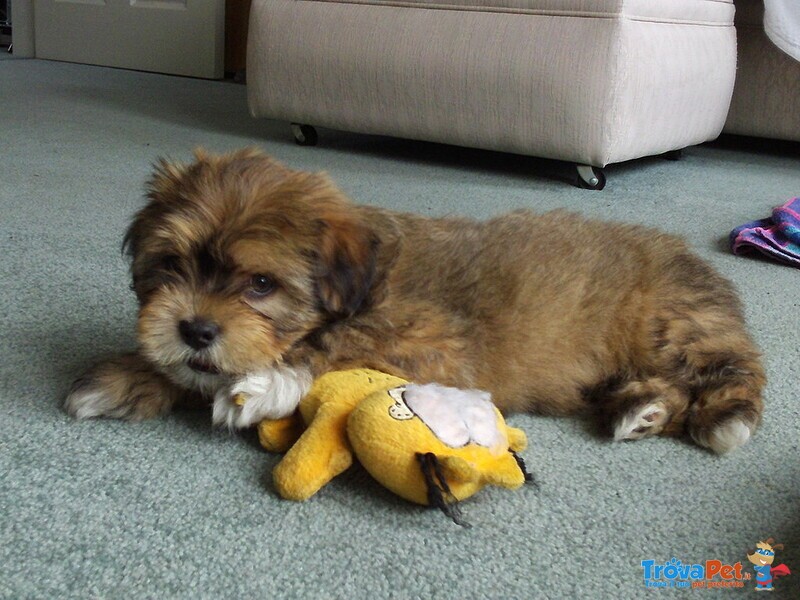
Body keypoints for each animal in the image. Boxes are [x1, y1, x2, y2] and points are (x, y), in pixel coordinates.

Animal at [65, 148, 764, 452]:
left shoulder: (436, 345)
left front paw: (266, 383)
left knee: (732, 372)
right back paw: (644, 408)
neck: (362, 286)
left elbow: (339, 348)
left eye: (260, 284)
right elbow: (190, 372)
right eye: (171, 265)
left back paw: (718, 417)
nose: (195, 330)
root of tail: (692, 260)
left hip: (671, 325)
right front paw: (130, 377)